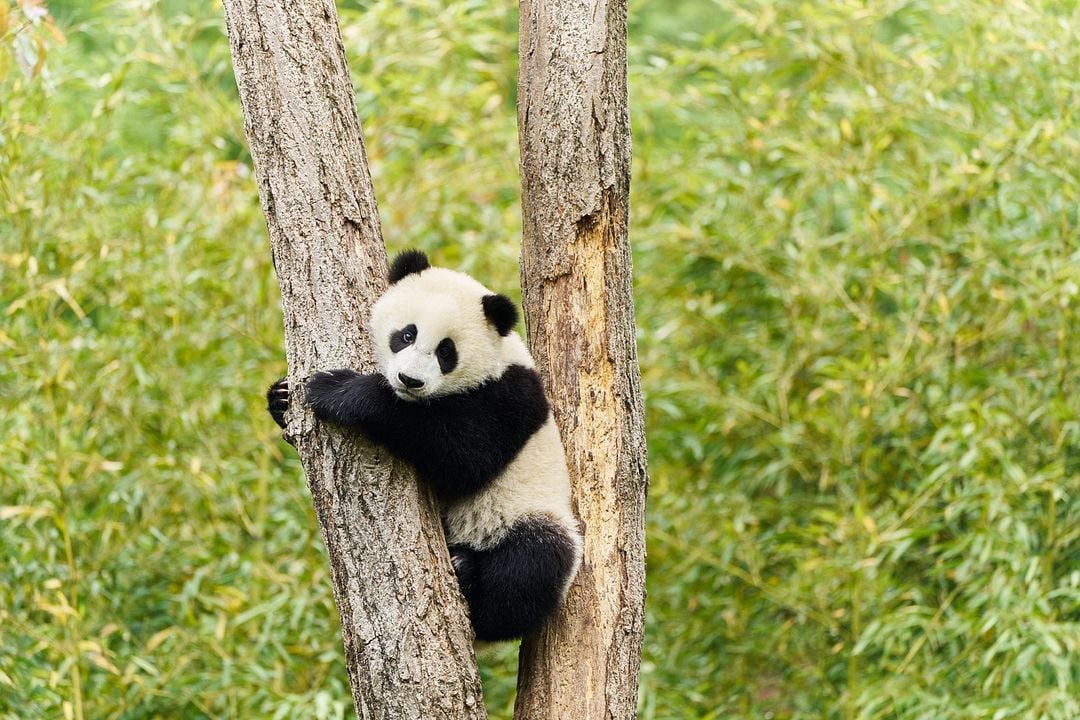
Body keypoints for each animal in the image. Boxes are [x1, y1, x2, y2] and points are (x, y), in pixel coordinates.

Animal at [267, 250, 582, 642]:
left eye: (446, 352)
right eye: (406, 334)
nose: (409, 380)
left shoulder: (510, 398)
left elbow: (462, 455)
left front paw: (339, 392)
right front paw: (280, 398)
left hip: (527, 513)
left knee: (532, 566)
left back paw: (471, 584)